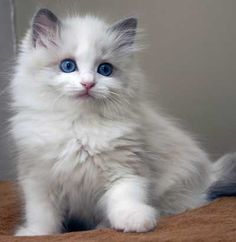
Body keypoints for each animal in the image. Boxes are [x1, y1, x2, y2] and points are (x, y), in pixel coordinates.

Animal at [10, 8, 234, 235]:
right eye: (68, 66)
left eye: (104, 69)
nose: (88, 84)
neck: (80, 125)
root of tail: (211, 175)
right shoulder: (38, 179)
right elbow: (42, 215)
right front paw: (34, 234)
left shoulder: (125, 169)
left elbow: (125, 198)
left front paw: (135, 221)